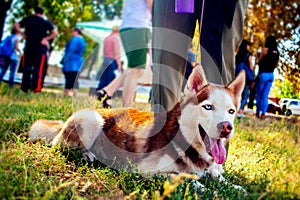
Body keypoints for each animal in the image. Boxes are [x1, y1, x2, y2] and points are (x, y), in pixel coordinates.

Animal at [29, 65, 245, 177]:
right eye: (208, 107)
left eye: (231, 111)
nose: (226, 127)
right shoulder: (149, 170)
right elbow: (190, 179)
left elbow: (222, 178)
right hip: (92, 121)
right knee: (61, 146)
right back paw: (88, 154)